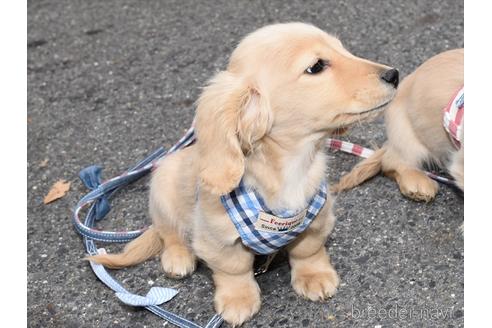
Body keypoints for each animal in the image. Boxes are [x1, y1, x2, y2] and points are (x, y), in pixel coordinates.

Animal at [90, 23, 400, 326]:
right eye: (316, 66)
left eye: (342, 49)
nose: (394, 74)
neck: (292, 163)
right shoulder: (217, 238)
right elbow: (234, 269)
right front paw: (238, 300)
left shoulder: (319, 216)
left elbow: (308, 249)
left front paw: (314, 276)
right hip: (163, 187)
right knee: (169, 233)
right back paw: (178, 257)